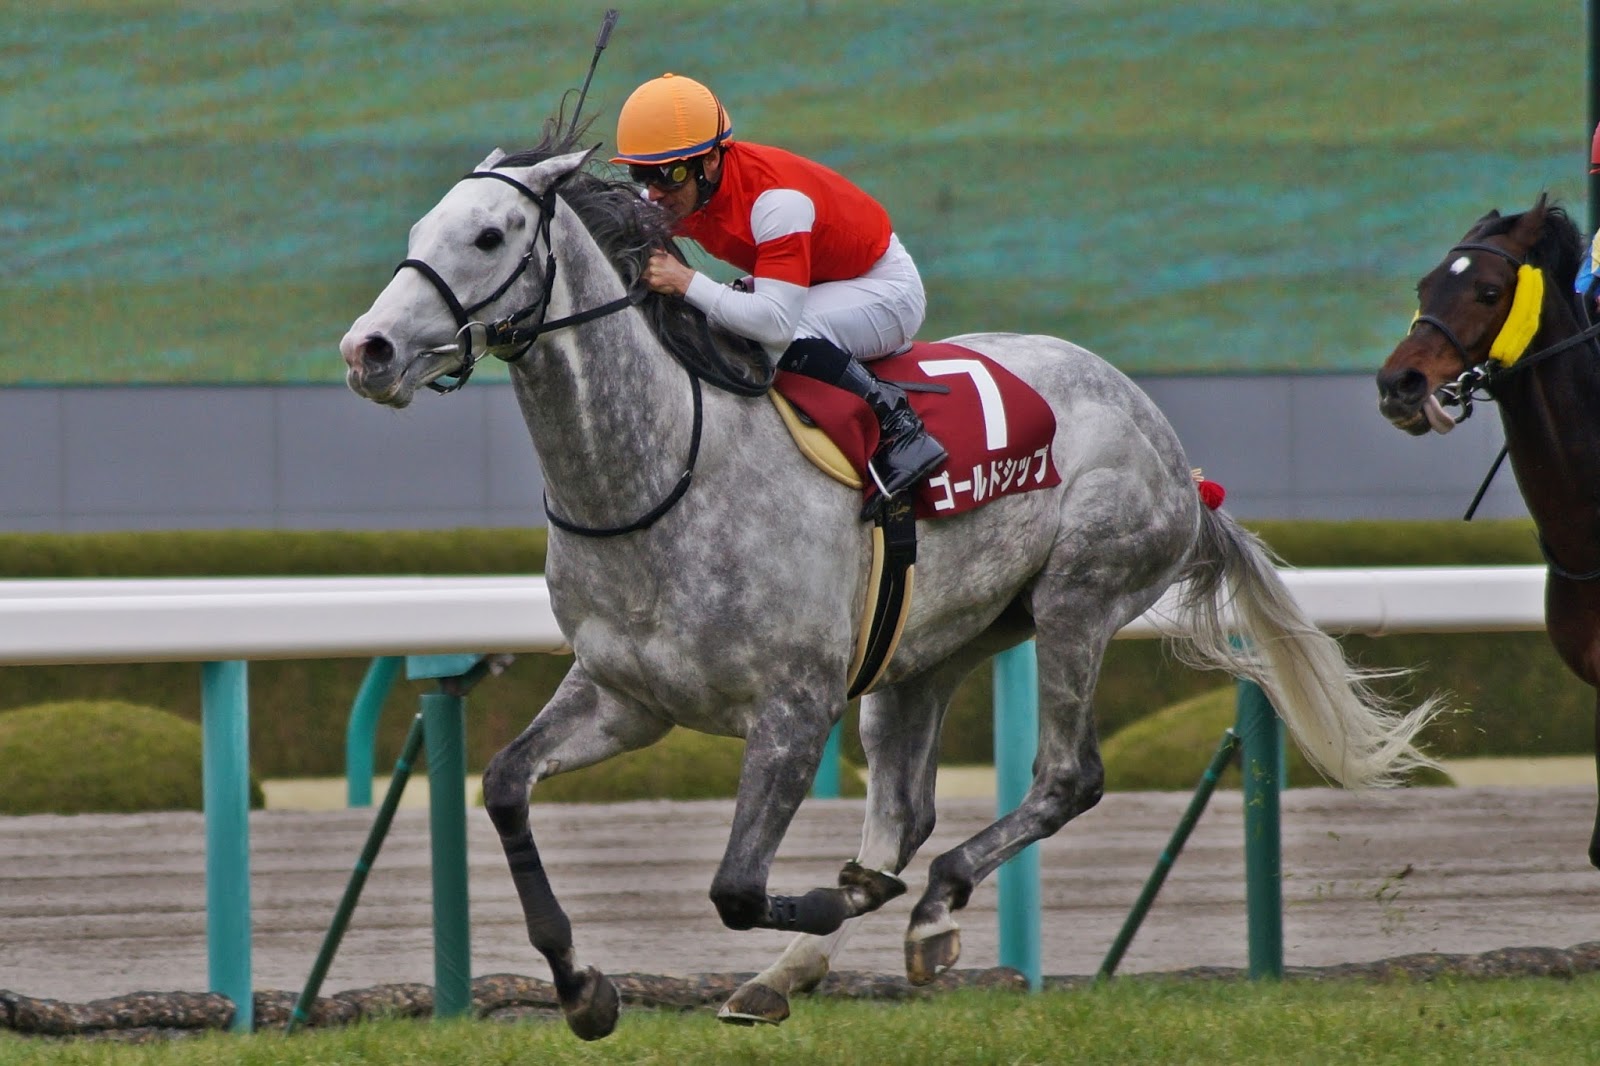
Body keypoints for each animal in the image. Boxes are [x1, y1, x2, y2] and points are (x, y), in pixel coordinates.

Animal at [344, 126, 1446, 1037]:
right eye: (422, 229)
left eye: (489, 235)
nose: (369, 350)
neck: (659, 474)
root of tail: (1173, 451)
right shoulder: (625, 696)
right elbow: (504, 787)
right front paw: (583, 989)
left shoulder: (794, 707)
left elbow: (736, 886)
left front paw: (837, 900)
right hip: (929, 649)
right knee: (906, 812)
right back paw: (789, 970)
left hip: (1078, 598)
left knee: (1063, 778)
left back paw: (929, 907)